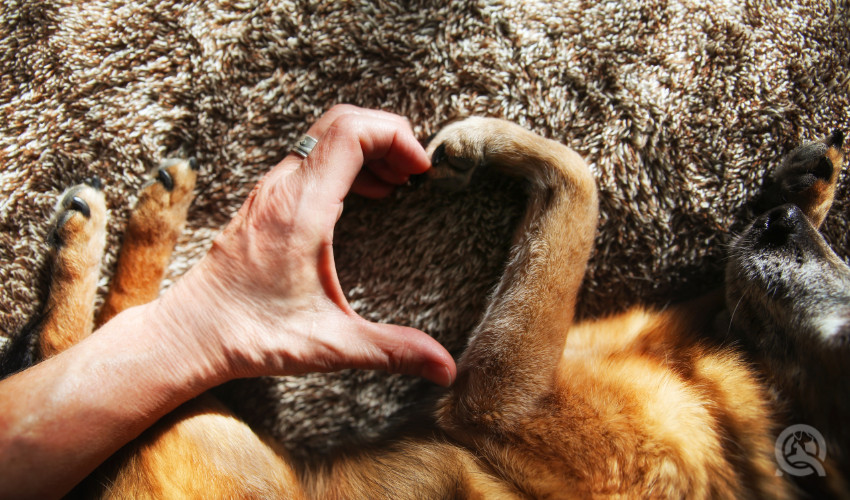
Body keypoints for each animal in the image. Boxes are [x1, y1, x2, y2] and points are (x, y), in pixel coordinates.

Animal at [0, 116, 844, 496]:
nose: (778, 225)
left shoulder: (503, 397)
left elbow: (580, 182)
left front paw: (489, 142)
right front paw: (807, 184)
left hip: (203, 436)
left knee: (101, 349)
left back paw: (109, 228)